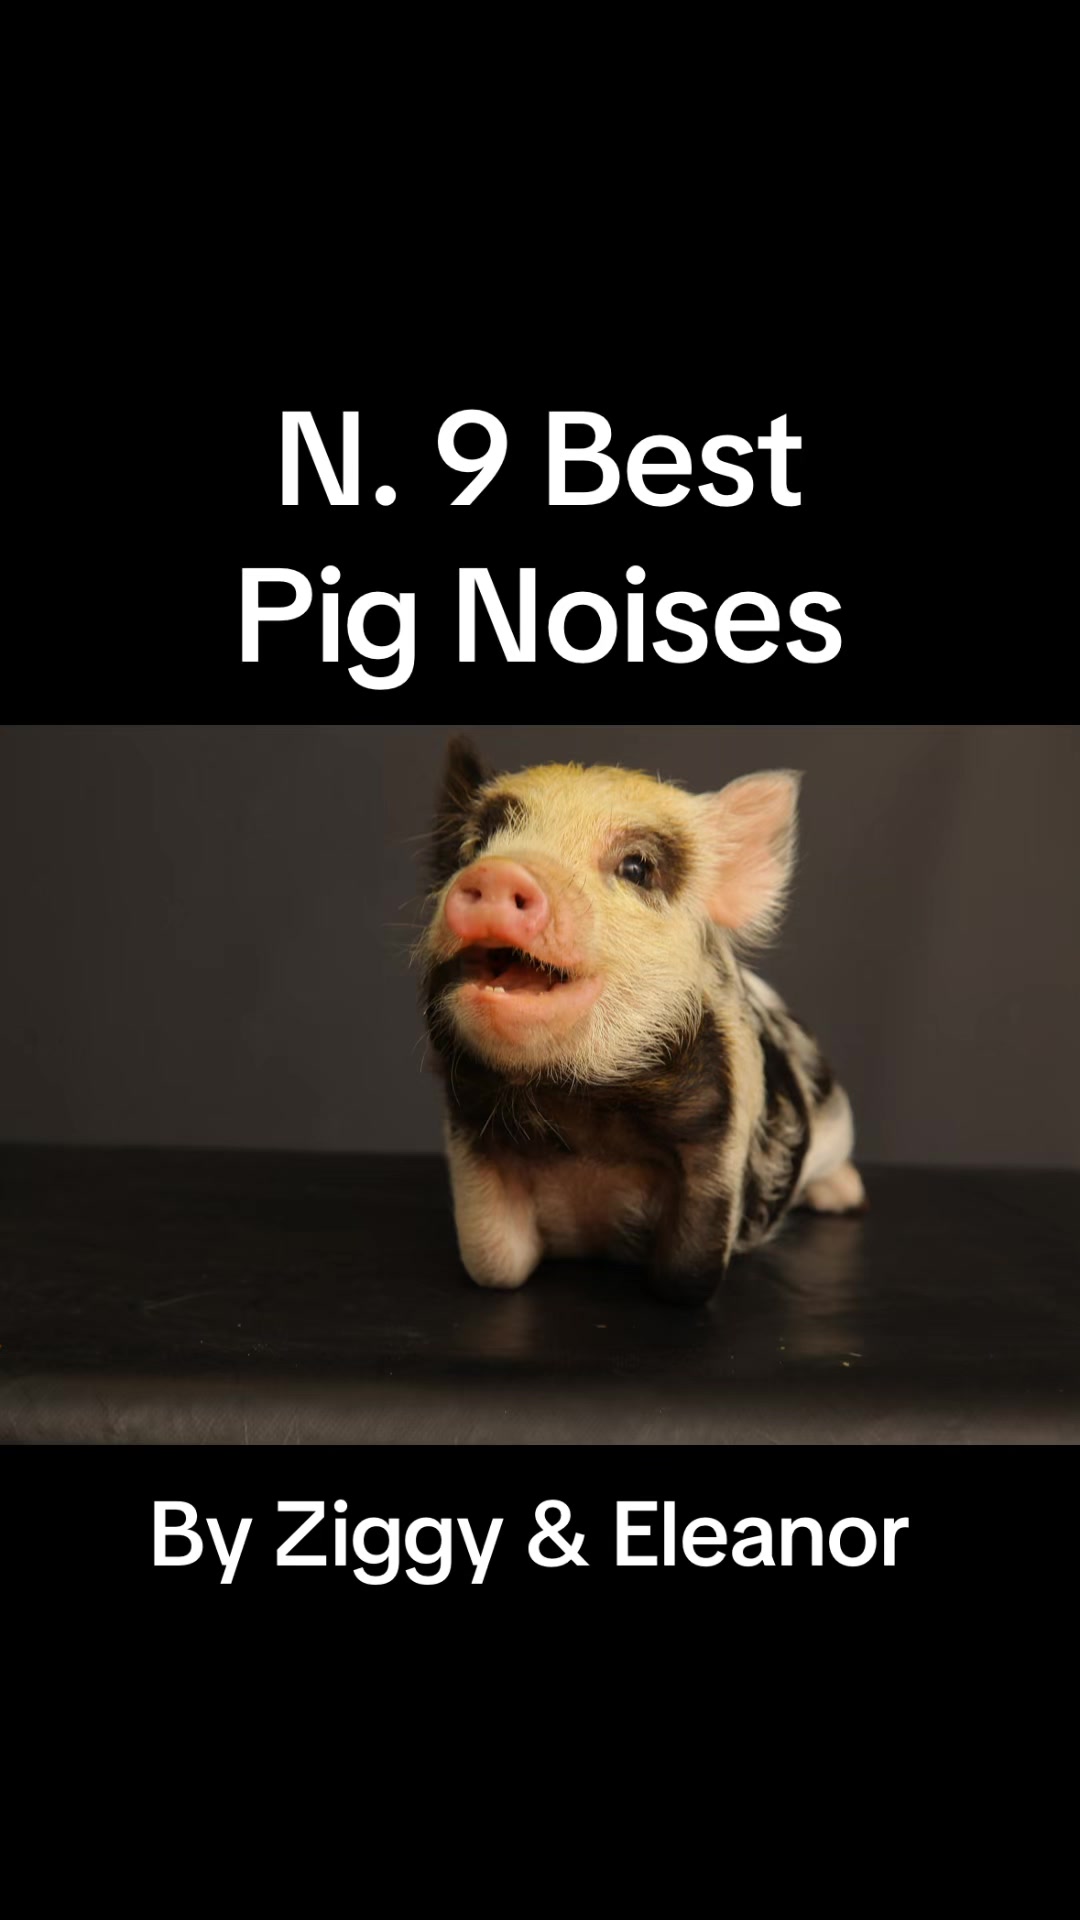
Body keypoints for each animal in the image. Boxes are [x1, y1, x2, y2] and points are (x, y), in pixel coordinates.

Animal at [419, 738, 865, 1306]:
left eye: (636, 868)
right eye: (473, 849)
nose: (499, 872)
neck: (577, 1113)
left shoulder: (717, 1139)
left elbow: (688, 1274)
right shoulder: (470, 1131)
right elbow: (494, 1264)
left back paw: (847, 1199)